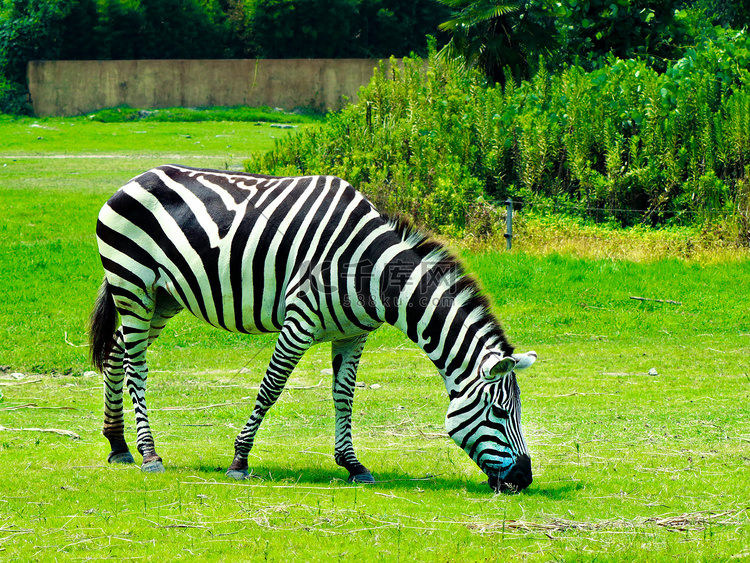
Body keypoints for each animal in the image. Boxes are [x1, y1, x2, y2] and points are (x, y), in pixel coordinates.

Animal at [89, 164, 540, 494]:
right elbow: (271, 388)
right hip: (133, 284)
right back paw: (149, 454)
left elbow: (344, 397)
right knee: (135, 367)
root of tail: (136, 177)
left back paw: (118, 445)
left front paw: (353, 464)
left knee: (116, 353)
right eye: (500, 412)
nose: (524, 478)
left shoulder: (353, 333)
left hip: (162, 297)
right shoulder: (299, 320)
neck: (371, 271)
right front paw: (240, 459)